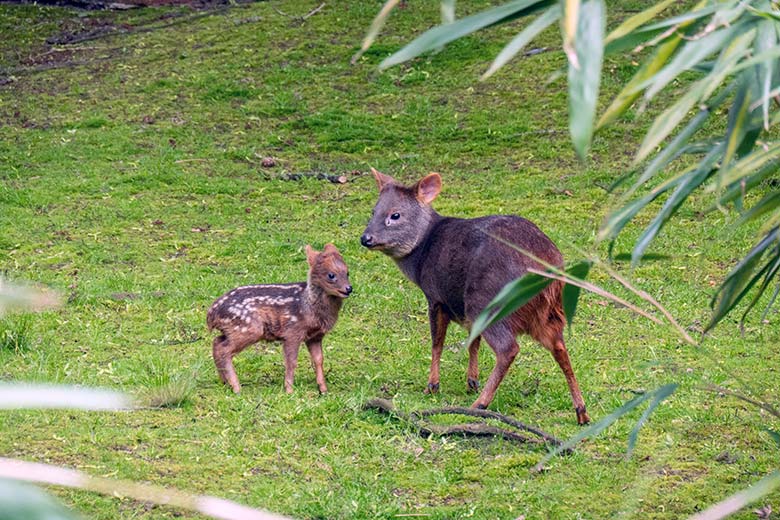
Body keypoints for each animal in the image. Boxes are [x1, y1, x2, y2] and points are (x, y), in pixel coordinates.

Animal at [209, 244, 352, 394]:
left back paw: (225, 382)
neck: (308, 306)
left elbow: (319, 359)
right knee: (224, 349)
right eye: (331, 275)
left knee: (216, 342)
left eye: (347, 272)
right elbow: (291, 361)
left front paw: (323, 390)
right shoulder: (292, 331)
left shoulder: (315, 336)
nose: (349, 288)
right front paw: (289, 390)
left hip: (233, 330)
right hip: (248, 328)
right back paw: (236, 387)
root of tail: (211, 314)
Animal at [362, 169, 588, 424]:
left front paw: (433, 385)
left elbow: (437, 342)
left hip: (488, 300)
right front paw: (471, 381)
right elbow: (473, 341)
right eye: (373, 211)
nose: (366, 238)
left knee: (509, 348)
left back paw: (480, 404)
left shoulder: (436, 296)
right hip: (548, 312)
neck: (422, 255)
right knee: (559, 346)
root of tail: (546, 266)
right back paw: (581, 411)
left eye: (395, 215)